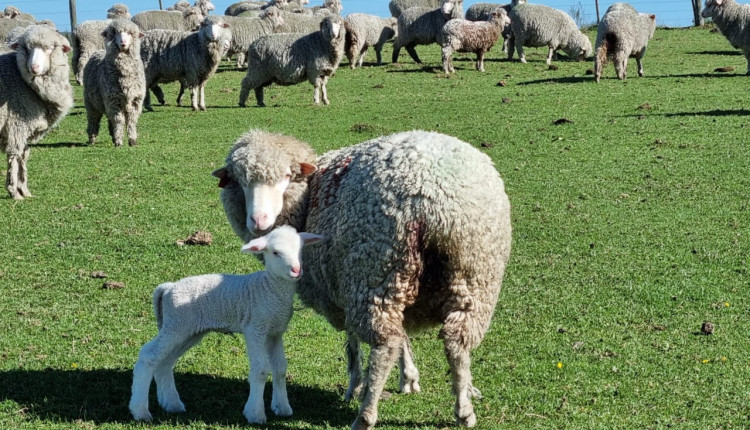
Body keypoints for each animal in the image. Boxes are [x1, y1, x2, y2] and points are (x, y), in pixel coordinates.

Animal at [83, 19, 146, 147]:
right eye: (115, 33)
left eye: (130, 33)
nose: (123, 43)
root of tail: (99, 51)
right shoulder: (113, 100)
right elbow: (119, 120)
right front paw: (119, 142)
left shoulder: (135, 101)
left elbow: (131, 121)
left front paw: (132, 140)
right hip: (91, 103)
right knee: (93, 120)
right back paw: (92, 139)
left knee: (109, 119)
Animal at [127, 225, 326, 424]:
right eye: (276, 252)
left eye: (300, 250)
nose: (296, 270)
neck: (269, 288)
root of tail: (167, 288)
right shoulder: (255, 328)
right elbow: (261, 370)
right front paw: (255, 414)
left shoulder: (275, 332)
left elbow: (280, 369)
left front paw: (283, 408)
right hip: (176, 324)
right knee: (148, 356)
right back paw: (140, 411)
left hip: (187, 330)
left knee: (165, 362)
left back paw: (172, 404)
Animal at [214, 128, 516, 430]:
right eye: (239, 180)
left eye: (288, 176)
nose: (258, 220)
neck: (307, 200)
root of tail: (433, 201)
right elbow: (403, 336)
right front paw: (409, 377)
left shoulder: (343, 287)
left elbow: (354, 343)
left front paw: (355, 386)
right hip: (474, 275)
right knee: (457, 341)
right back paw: (464, 408)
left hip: (375, 271)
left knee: (385, 345)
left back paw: (366, 413)